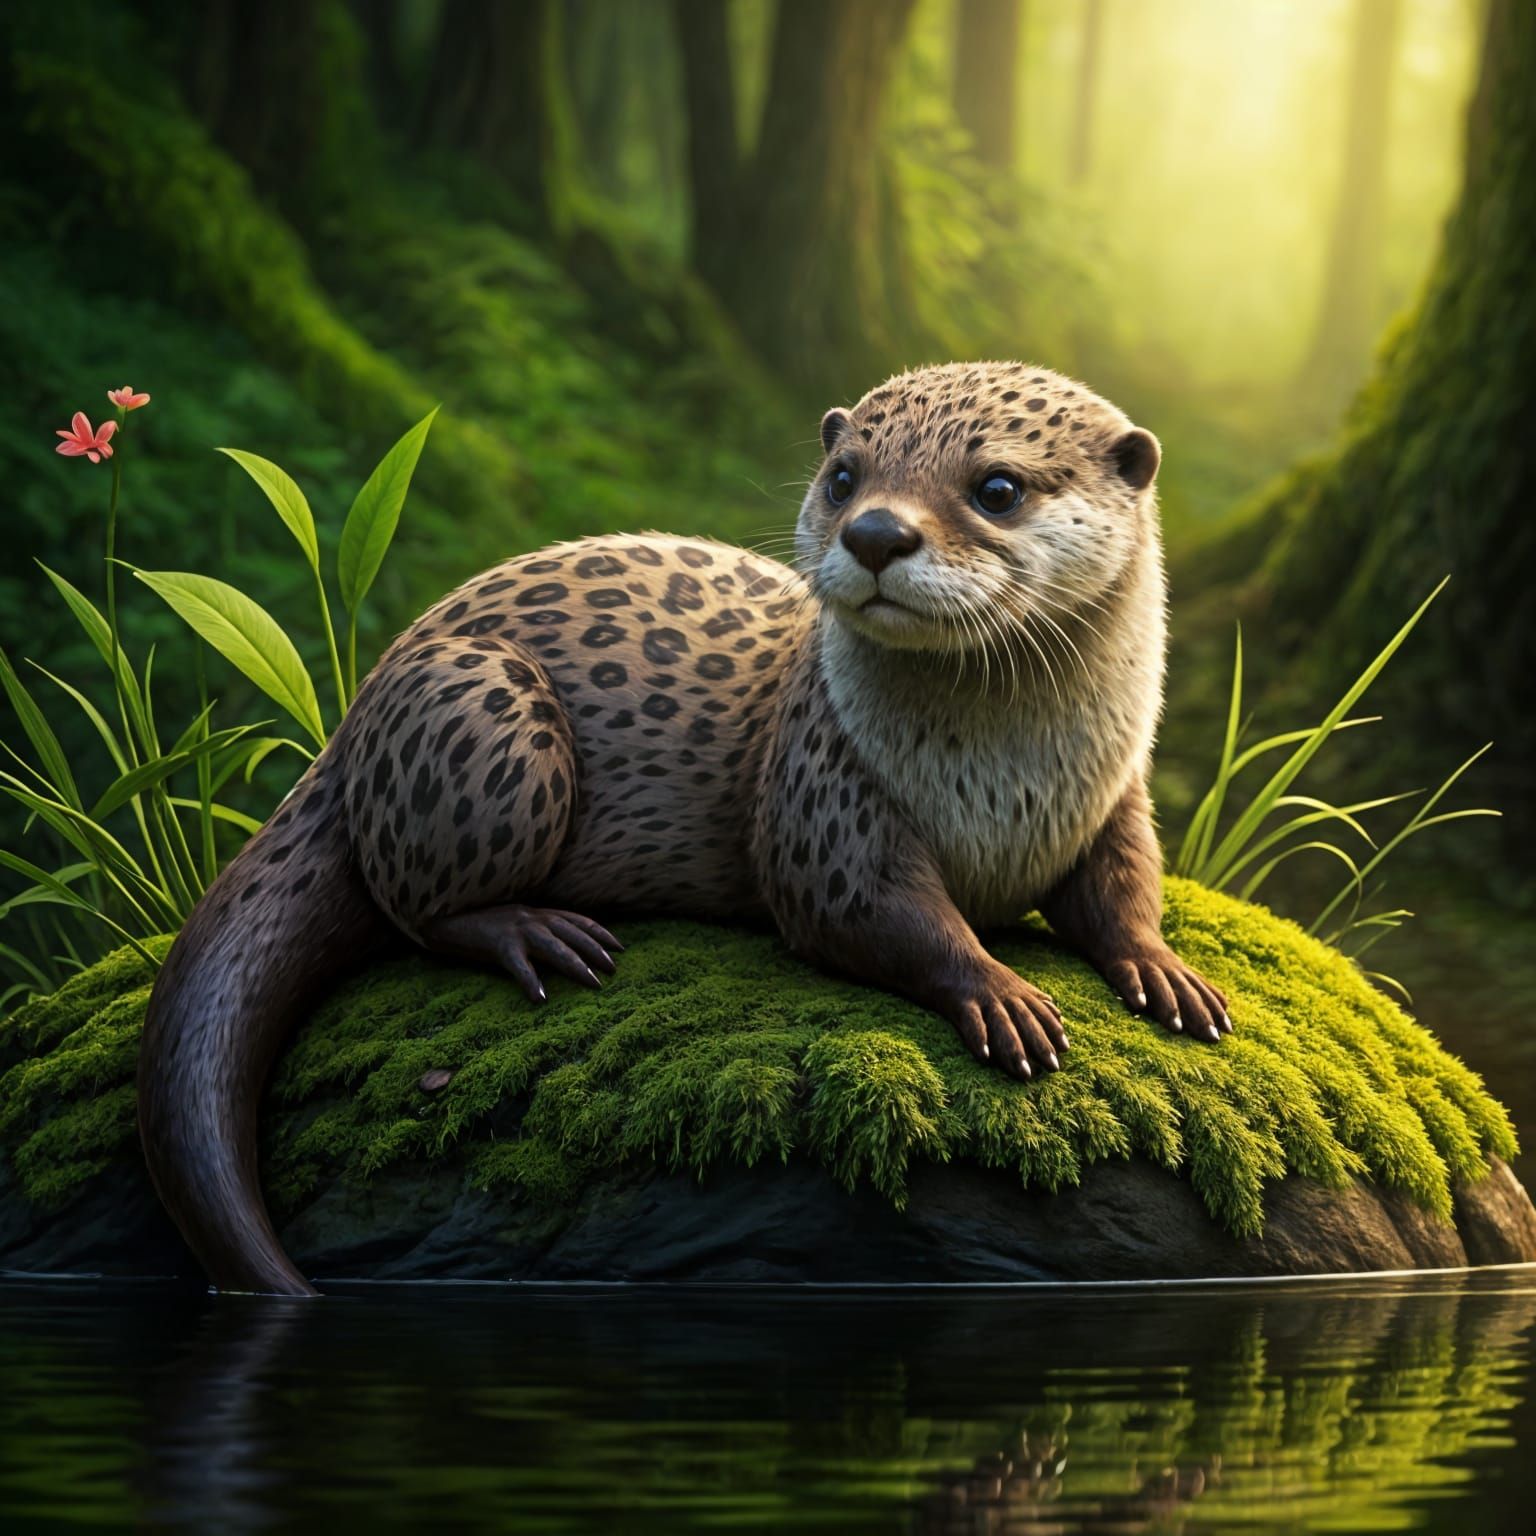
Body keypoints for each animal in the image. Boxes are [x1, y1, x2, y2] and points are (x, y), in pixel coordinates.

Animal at [139, 361, 1230, 1296]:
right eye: (844, 476)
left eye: (997, 487)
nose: (876, 532)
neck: (1008, 779)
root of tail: (356, 719)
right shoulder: (822, 789)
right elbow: (865, 908)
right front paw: (1000, 992)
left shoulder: (1115, 795)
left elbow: (1124, 887)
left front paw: (1165, 971)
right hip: (483, 715)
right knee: (413, 904)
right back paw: (538, 933)